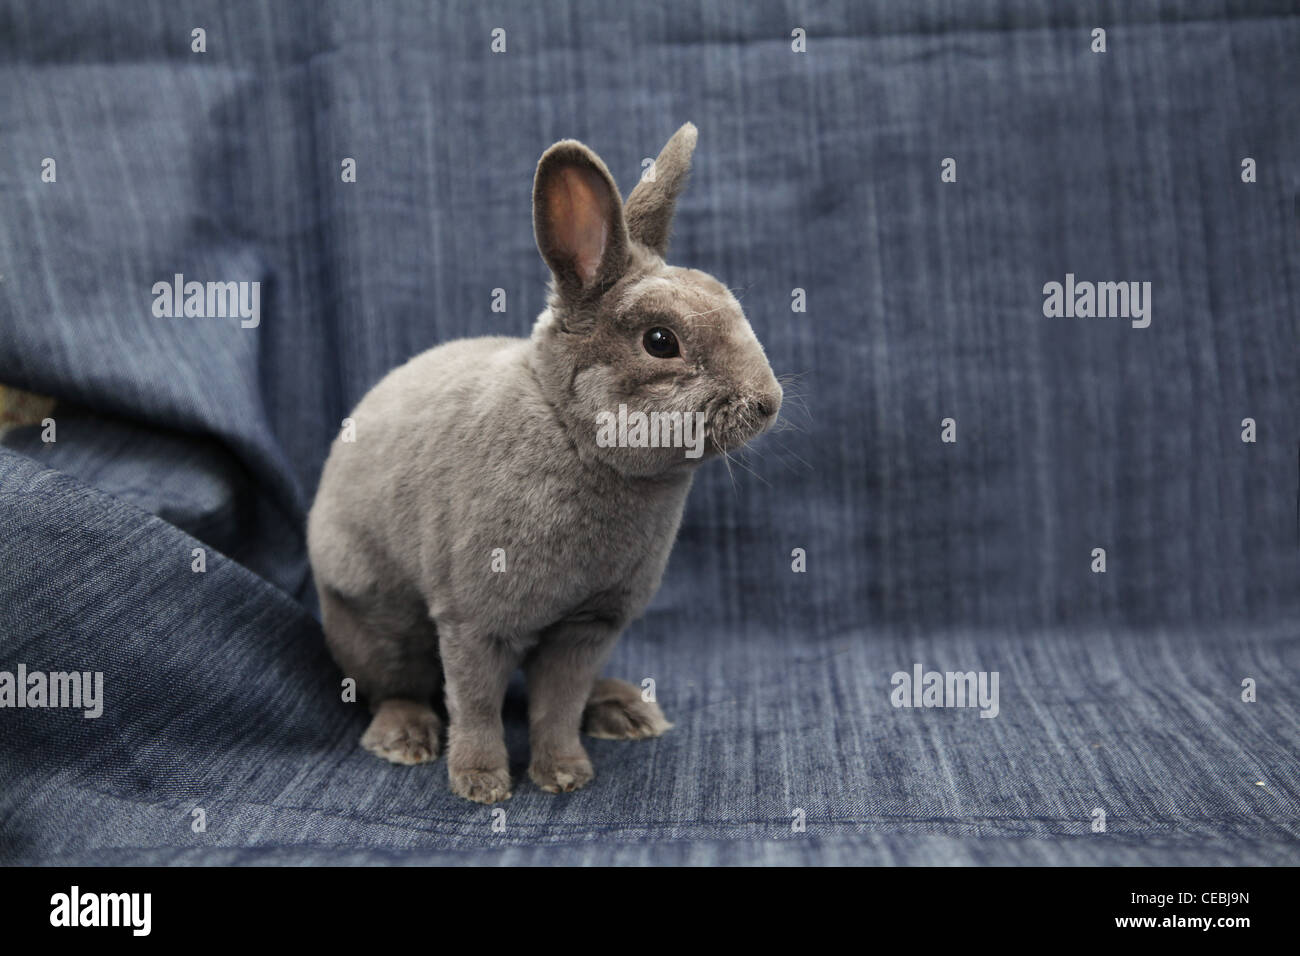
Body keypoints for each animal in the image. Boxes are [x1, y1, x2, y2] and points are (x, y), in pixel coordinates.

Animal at [307, 123, 782, 803]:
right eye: (660, 342)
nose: (768, 402)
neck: (575, 437)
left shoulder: (587, 627)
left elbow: (557, 703)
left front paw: (563, 773)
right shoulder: (473, 621)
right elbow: (477, 703)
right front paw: (482, 783)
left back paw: (625, 711)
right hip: (373, 620)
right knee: (393, 686)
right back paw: (405, 737)